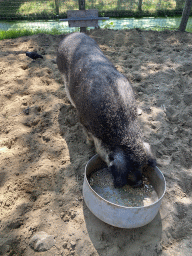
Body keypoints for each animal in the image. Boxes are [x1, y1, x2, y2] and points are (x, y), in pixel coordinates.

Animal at [57, 32, 156, 188]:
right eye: (129, 170)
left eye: (142, 166)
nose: (139, 184)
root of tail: (73, 34)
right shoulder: (83, 120)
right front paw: (89, 144)